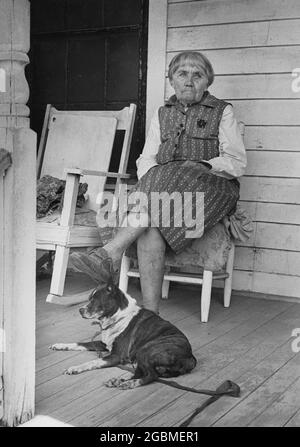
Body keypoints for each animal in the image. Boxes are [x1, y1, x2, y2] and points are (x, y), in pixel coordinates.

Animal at [50, 260, 197, 390]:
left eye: (95, 300)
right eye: (89, 299)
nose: (80, 310)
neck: (117, 317)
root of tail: (190, 357)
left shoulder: (117, 356)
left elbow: (93, 361)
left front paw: (75, 368)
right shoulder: (103, 344)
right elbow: (80, 343)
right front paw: (60, 345)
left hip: (146, 350)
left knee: (151, 375)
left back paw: (130, 383)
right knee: (141, 372)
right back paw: (119, 380)